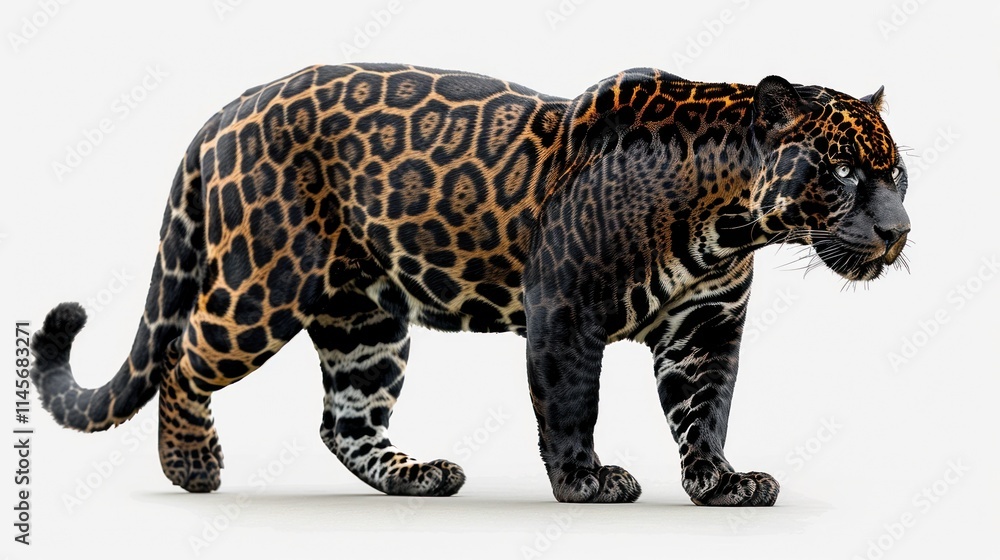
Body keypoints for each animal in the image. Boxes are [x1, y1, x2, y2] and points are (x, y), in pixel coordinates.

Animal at [30, 63, 909, 506]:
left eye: (896, 175)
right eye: (839, 173)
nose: (899, 232)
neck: (727, 217)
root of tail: (228, 108)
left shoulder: (706, 329)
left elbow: (705, 412)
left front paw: (719, 483)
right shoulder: (566, 311)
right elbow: (570, 405)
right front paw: (585, 481)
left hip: (365, 320)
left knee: (346, 420)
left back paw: (415, 476)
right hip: (264, 285)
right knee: (184, 358)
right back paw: (192, 466)